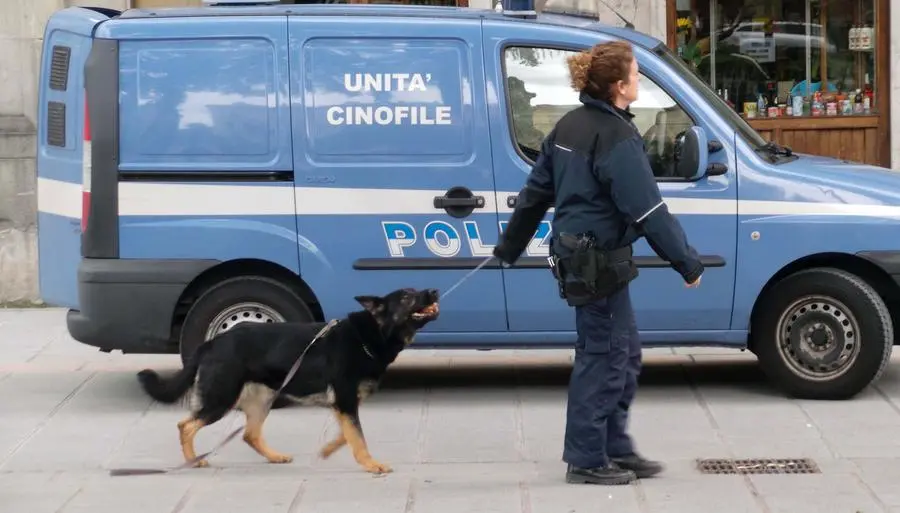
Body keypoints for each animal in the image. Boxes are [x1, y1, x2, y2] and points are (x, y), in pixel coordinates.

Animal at [135, 286, 442, 474]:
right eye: (406, 297)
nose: (434, 291)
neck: (368, 337)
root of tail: (212, 343)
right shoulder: (345, 401)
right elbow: (357, 437)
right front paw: (370, 464)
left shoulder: (343, 405)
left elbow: (347, 435)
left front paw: (328, 450)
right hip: (221, 399)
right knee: (185, 425)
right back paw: (192, 461)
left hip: (262, 400)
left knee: (249, 433)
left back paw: (274, 456)